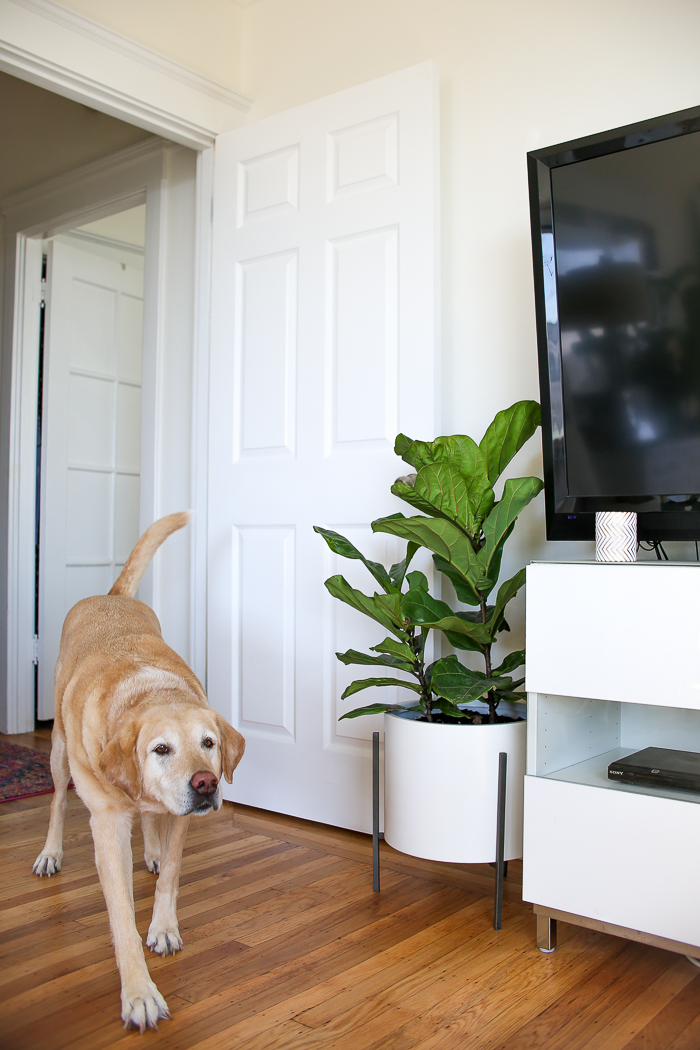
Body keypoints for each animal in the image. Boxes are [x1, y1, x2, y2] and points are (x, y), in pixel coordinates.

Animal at [33, 512, 246, 1029]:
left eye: (209, 743)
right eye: (160, 749)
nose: (206, 784)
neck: (148, 691)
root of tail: (111, 595)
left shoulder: (181, 819)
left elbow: (170, 873)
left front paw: (163, 926)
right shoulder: (107, 825)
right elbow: (120, 916)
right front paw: (139, 993)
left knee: (151, 820)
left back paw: (149, 848)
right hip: (58, 752)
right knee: (56, 802)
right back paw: (50, 853)